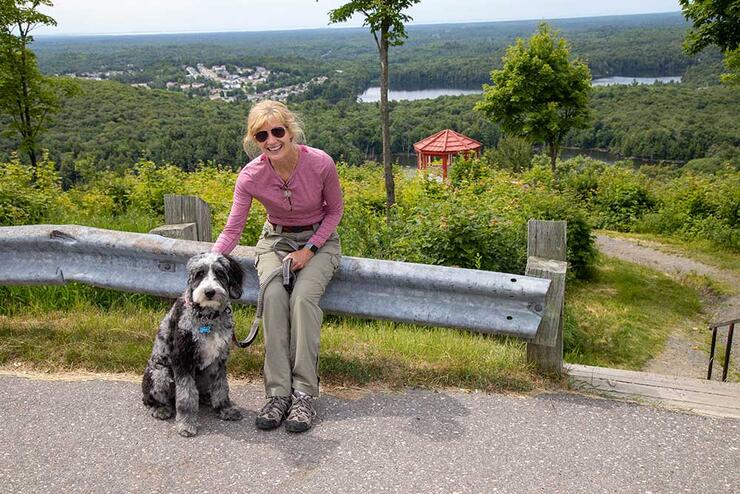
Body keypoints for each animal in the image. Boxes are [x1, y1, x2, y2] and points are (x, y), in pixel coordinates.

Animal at [144, 253, 246, 438]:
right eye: (199, 274)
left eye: (220, 273)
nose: (209, 292)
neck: (208, 317)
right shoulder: (182, 359)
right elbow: (186, 395)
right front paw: (186, 423)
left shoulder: (220, 360)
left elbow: (222, 386)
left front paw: (225, 408)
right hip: (160, 374)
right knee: (152, 399)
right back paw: (161, 408)